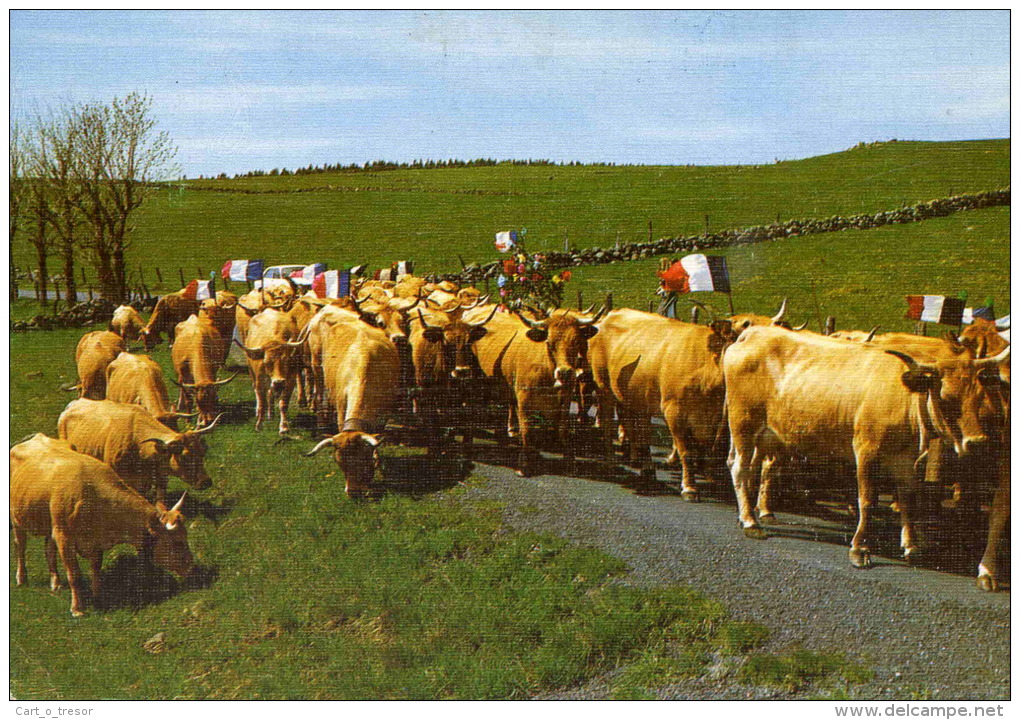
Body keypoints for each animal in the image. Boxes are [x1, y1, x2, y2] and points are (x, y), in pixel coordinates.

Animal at [10, 428, 192, 615]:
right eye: (177, 542)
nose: (190, 566)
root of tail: (36, 437)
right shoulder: (64, 537)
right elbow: (74, 574)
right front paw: (77, 609)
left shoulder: (95, 541)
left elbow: (95, 569)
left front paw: (98, 597)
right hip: (16, 518)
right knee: (20, 546)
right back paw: (22, 579)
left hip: (50, 524)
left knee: (49, 549)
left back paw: (55, 582)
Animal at [587, 307, 738, 493]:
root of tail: (612, 314)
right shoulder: (674, 411)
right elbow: (687, 451)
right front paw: (689, 487)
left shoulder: (714, 417)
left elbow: (703, 448)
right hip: (603, 387)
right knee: (608, 425)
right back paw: (611, 461)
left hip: (636, 397)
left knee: (639, 430)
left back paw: (645, 467)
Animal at [726, 326, 995, 567]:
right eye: (947, 398)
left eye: (980, 396)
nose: (978, 442)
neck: (903, 394)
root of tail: (753, 333)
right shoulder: (866, 450)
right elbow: (867, 500)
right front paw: (860, 548)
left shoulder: (904, 457)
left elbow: (908, 498)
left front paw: (911, 546)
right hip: (743, 423)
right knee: (740, 468)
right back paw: (750, 522)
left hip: (762, 435)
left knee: (745, 466)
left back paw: (748, 514)